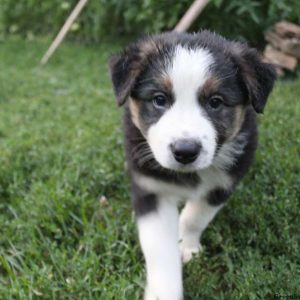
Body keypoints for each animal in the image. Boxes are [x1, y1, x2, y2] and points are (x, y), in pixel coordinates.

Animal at [108, 31, 276, 300]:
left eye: (216, 102)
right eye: (159, 99)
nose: (185, 151)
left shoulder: (223, 183)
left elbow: (195, 217)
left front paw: (186, 246)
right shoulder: (151, 188)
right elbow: (159, 247)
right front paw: (163, 293)